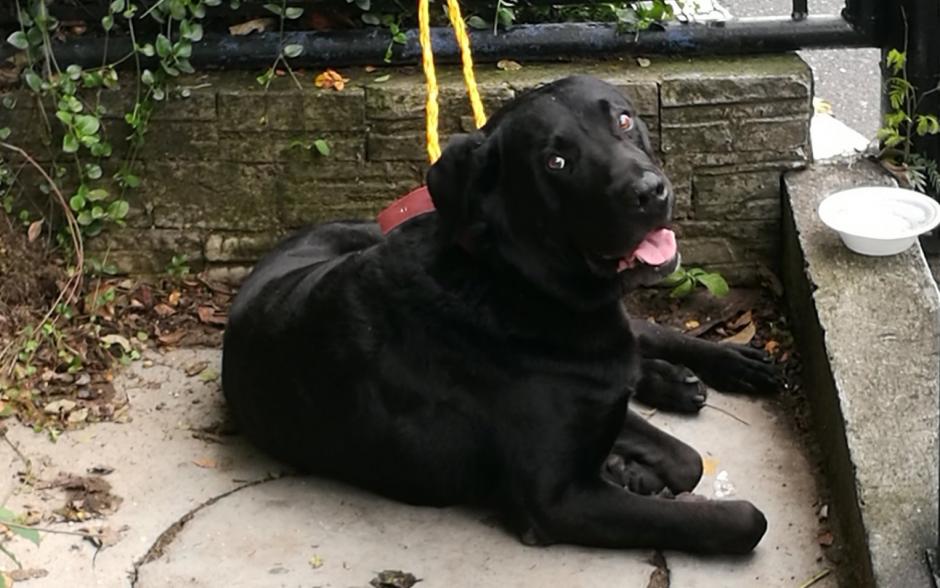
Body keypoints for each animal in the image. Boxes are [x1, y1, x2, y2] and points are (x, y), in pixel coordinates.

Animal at [224, 76, 776, 552]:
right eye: (556, 161)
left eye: (623, 120)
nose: (650, 191)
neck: (511, 281)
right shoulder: (556, 501)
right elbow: (739, 516)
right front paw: (632, 470)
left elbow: (684, 458)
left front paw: (633, 463)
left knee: (639, 334)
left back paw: (720, 367)